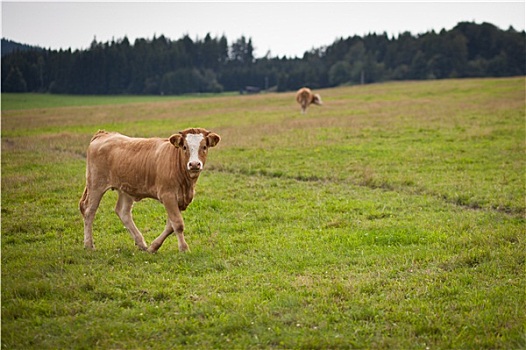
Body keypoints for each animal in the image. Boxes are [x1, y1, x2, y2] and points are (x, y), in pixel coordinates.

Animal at [78, 127, 221, 253]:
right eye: (184, 147)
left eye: (204, 147)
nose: (194, 164)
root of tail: (104, 134)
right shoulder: (168, 195)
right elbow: (178, 224)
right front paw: (184, 248)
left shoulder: (179, 199)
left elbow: (170, 226)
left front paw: (154, 247)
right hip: (96, 184)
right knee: (89, 211)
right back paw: (89, 245)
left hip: (125, 189)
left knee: (123, 212)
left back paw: (141, 243)